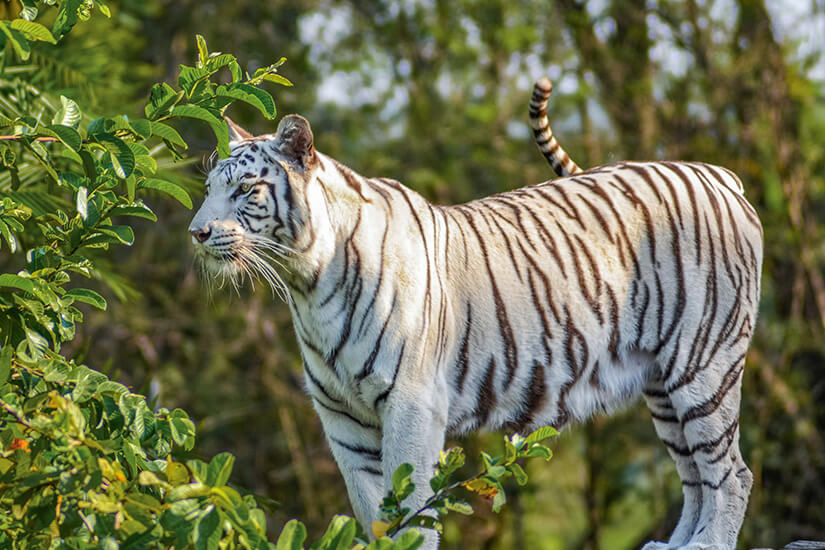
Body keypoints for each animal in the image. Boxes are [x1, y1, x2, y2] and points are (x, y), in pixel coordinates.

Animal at [187, 80, 760, 548]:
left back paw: (709, 544)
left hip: (704, 364)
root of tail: (718, 174)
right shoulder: (342, 418)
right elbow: (373, 512)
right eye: (210, 187)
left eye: (244, 190)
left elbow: (409, 514)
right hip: (661, 383)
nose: (196, 232)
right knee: (694, 473)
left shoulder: (412, 405)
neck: (307, 282)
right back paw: (676, 545)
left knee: (730, 470)